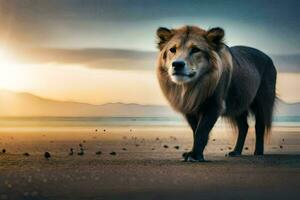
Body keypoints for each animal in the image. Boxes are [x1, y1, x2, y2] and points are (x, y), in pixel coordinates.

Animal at [157, 25, 276, 162]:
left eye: (195, 50)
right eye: (172, 49)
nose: (177, 64)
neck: (192, 87)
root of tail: (269, 58)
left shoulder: (214, 106)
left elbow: (201, 131)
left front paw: (195, 156)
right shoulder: (189, 109)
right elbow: (195, 130)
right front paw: (194, 153)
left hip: (262, 102)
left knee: (259, 127)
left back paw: (258, 152)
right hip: (238, 104)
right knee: (244, 127)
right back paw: (235, 152)